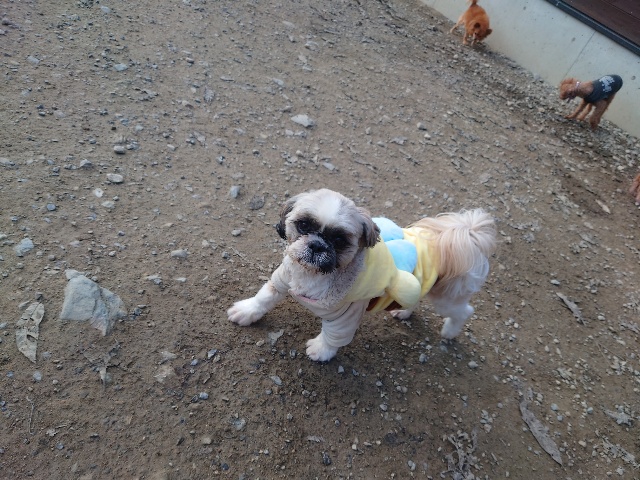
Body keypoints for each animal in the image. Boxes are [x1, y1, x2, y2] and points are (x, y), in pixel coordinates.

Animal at [227, 189, 496, 361]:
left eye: (339, 240)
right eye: (303, 225)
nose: (316, 245)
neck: (314, 275)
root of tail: (456, 236)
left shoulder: (345, 316)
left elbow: (333, 337)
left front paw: (321, 350)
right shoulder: (284, 278)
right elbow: (265, 297)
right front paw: (248, 311)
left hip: (446, 298)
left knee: (464, 311)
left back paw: (450, 331)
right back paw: (404, 312)